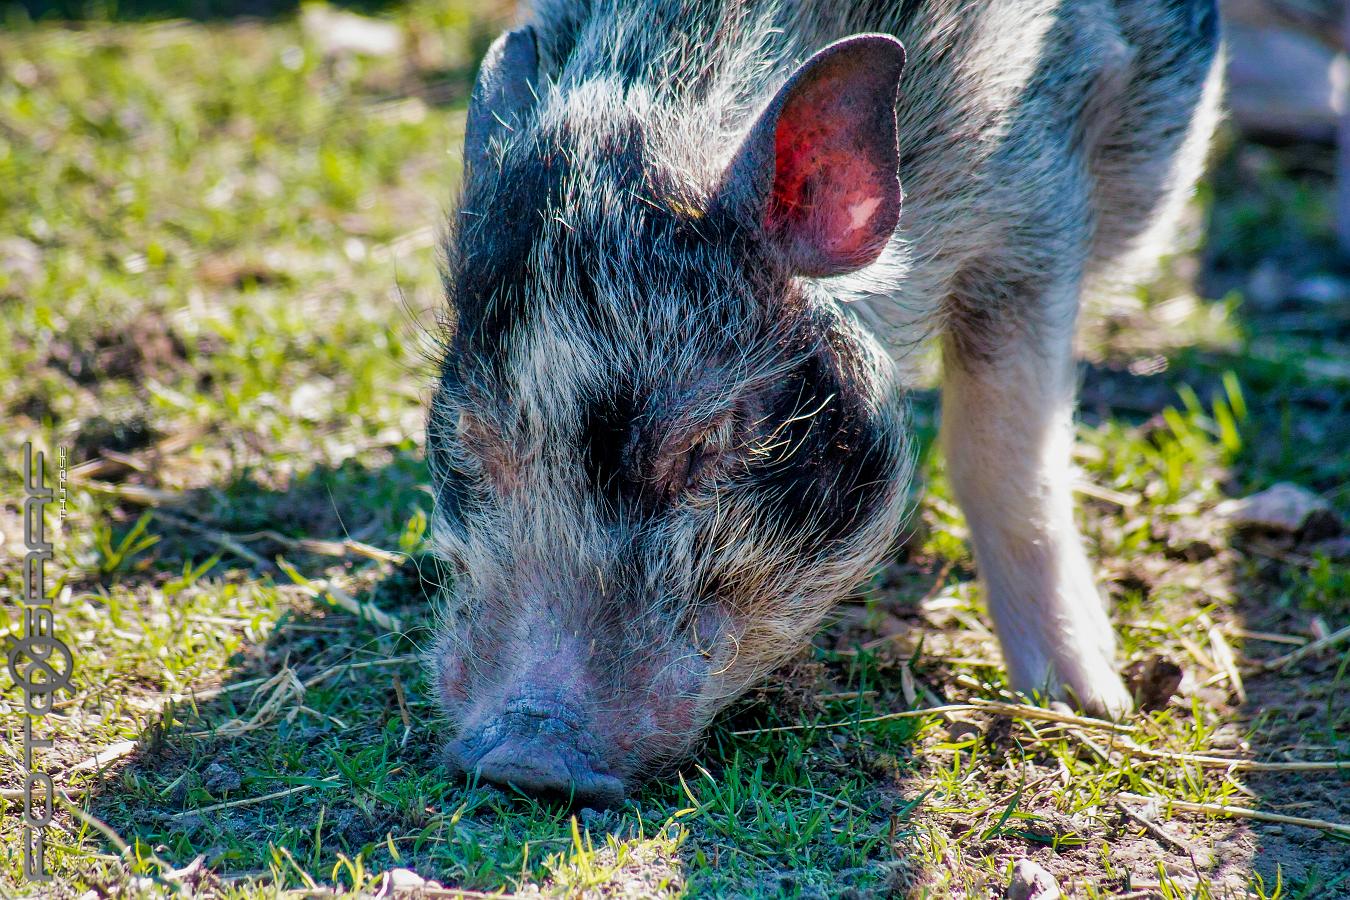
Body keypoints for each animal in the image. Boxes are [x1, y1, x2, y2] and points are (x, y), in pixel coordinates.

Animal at [429, 0, 1225, 804]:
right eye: (471, 438)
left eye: (705, 442)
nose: (526, 760)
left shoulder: (1040, 201)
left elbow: (1000, 451)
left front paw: (1083, 703)